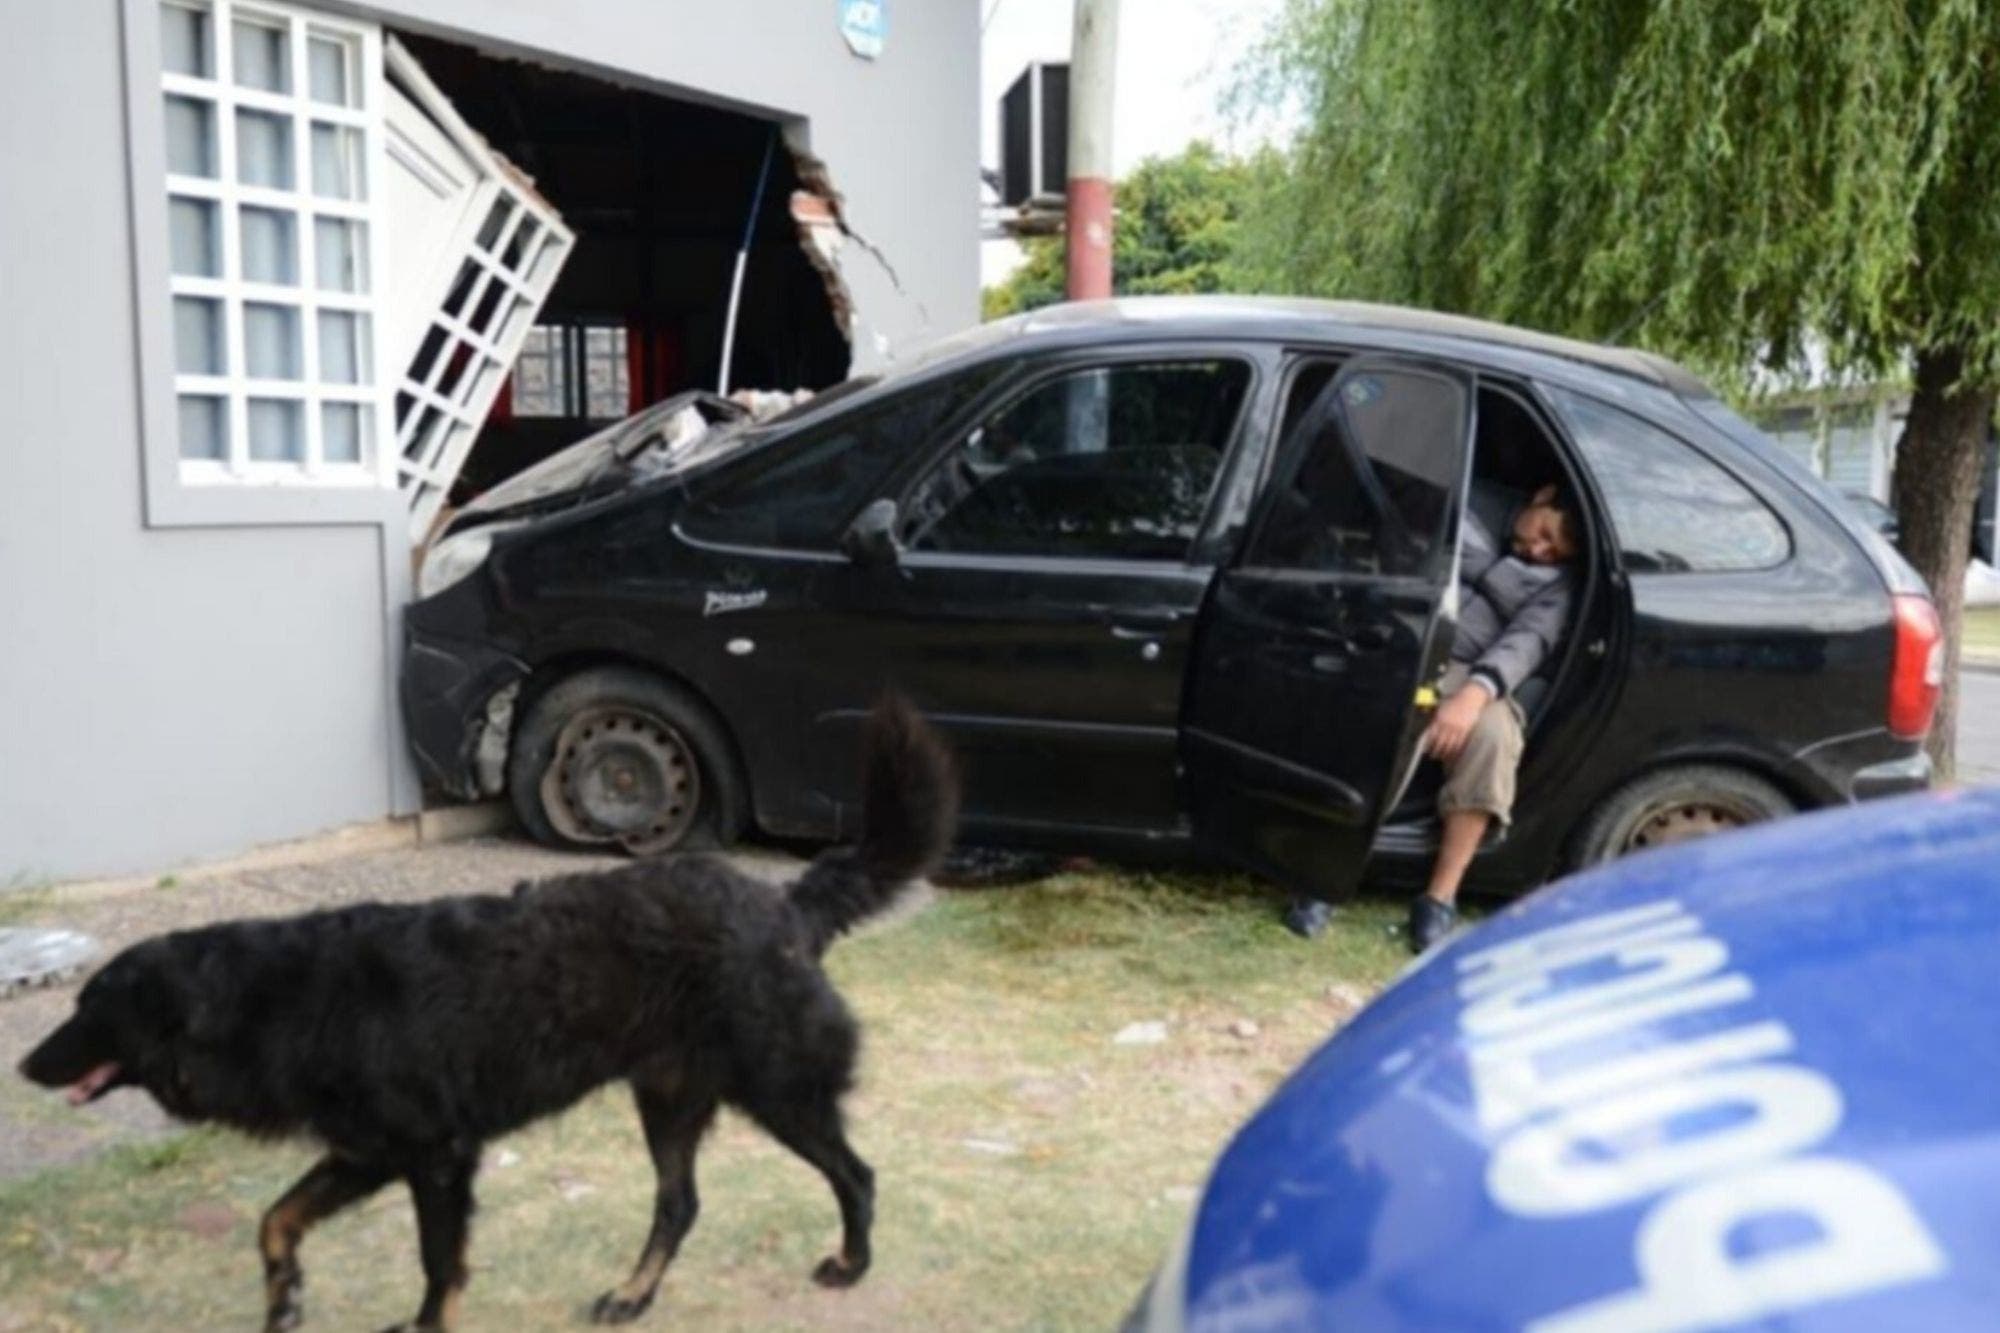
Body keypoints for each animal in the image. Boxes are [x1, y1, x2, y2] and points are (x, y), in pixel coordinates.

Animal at [15, 696, 952, 1328]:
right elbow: (274, 1218)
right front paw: (283, 1297)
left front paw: (419, 1323)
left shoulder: (435, 1158)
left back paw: (850, 1265)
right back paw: (632, 1295)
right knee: (679, 1205)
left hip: (779, 1089)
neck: (280, 996)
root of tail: (784, 901)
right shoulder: (365, 1152)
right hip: (668, 1099)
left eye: (88, 1008)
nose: (22, 1065)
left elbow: (439, 1265)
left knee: (855, 1175)